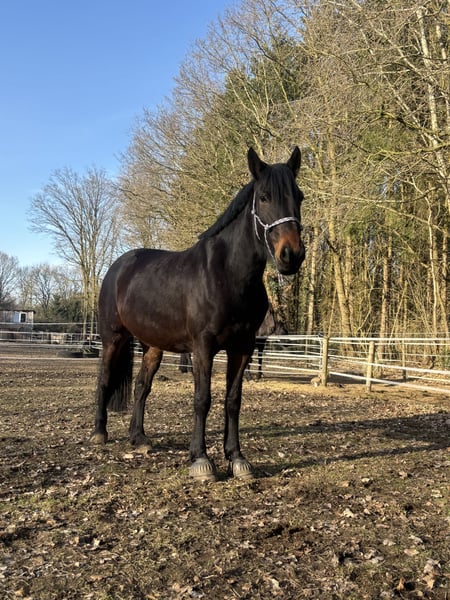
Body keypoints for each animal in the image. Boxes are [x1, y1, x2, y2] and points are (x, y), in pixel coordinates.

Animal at [91, 146, 305, 481]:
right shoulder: (203, 348)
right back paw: (99, 432)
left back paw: (139, 438)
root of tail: (119, 266)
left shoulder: (242, 347)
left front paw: (237, 459)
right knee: (104, 379)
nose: (291, 255)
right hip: (112, 338)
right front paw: (201, 460)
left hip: (152, 346)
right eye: (265, 197)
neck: (228, 275)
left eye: (300, 196)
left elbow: (233, 400)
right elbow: (202, 399)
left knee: (141, 388)